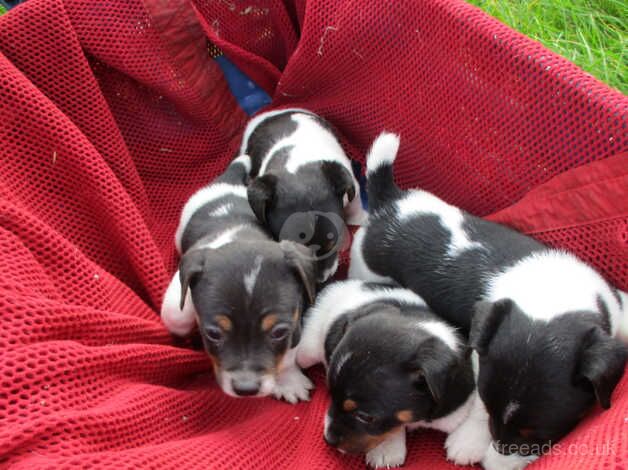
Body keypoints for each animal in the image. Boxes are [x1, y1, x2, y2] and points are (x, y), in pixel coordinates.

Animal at [159, 156, 316, 402]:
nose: (246, 389)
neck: (243, 237)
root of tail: (228, 181)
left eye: (279, 332)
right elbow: (177, 315)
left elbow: (289, 353)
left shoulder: (295, 321)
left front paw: (288, 380)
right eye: (213, 334)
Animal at [348, 133, 628, 470]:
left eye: (539, 432)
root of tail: (389, 203)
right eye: (491, 408)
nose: (498, 454)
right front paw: (471, 442)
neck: (549, 292)